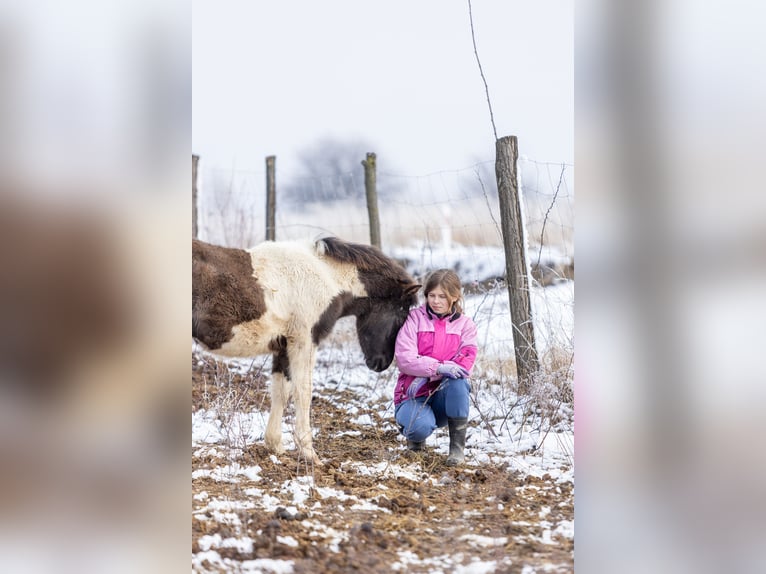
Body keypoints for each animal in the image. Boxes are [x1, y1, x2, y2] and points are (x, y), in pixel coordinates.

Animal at [192, 236, 420, 466]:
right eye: (401, 313)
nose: (381, 363)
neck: (326, 277)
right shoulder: (304, 341)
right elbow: (303, 391)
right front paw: (309, 452)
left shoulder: (283, 346)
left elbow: (281, 391)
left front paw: (275, 446)